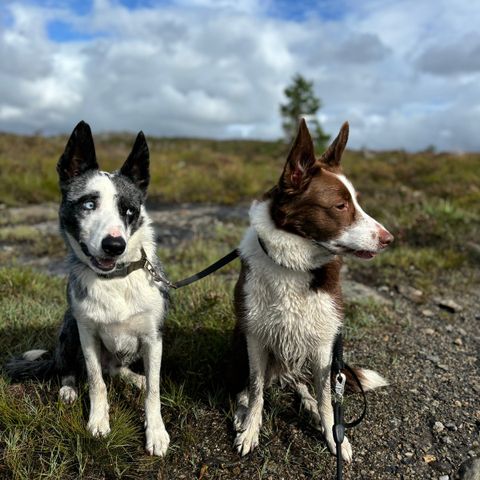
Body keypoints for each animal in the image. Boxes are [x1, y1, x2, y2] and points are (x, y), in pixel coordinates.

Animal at [6, 121, 171, 458]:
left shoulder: (153, 338)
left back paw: (134, 378)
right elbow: (96, 382)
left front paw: (156, 431)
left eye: (129, 210)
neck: (114, 279)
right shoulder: (87, 334)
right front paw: (98, 421)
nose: (114, 245)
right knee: (70, 367)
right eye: (89, 204)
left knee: (119, 371)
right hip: (68, 328)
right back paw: (69, 390)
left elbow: (154, 389)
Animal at [232, 119, 394, 462]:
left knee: (305, 385)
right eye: (340, 205)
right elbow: (256, 391)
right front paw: (250, 429)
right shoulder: (255, 337)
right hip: (240, 342)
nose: (389, 239)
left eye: (357, 201)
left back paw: (311, 408)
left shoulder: (323, 343)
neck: (293, 265)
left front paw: (334, 435)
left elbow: (325, 397)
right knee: (251, 387)